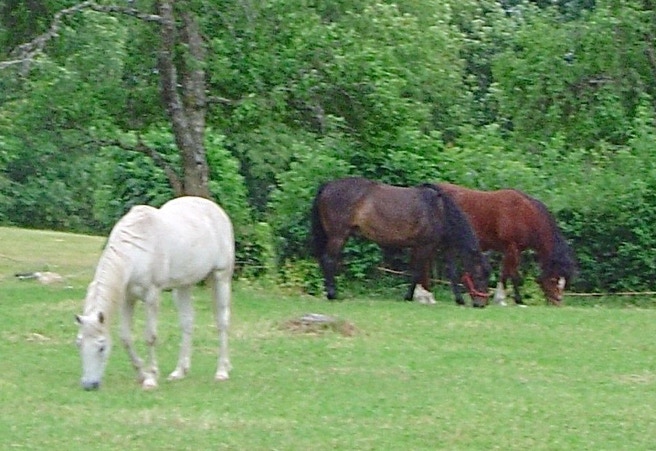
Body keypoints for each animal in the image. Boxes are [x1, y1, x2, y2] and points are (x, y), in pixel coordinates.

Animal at [75, 196, 234, 390]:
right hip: (183, 286)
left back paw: (222, 371)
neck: (136, 251)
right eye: (79, 344)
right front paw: (142, 374)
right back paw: (179, 371)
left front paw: (150, 378)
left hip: (221, 278)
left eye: (101, 347)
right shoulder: (128, 298)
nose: (89, 385)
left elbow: (150, 337)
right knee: (187, 322)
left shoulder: (151, 296)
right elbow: (125, 337)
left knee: (222, 322)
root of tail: (215, 209)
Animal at [312, 177, 492, 308]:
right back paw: (332, 294)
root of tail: (328, 185)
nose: (481, 304)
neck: (439, 210)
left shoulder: (443, 247)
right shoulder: (424, 246)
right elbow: (417, 272)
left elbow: (452, 273)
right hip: (338, 236)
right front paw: (408, 297)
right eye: (479, 275)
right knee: (329, 261)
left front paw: (459, 300)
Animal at [438, 184, 576, 308]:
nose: (558, 302)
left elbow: (504, 273)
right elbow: (514, 275)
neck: (525, 213)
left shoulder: (509, 250)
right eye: (554, 280)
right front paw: (517, 300)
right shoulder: (512, 247)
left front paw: (499, 300)